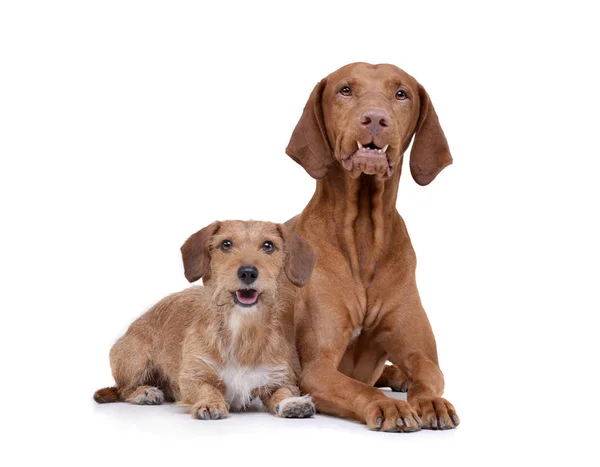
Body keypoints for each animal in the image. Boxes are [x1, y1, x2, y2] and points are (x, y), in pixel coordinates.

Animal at [93, 221, 316, 422]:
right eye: (226, 244)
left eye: (268, 245)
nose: (248, 272)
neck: (242, 329)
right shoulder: (192, 377)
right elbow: (207, 389)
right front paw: (210, 403)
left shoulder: (279, 379)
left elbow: (283, 392)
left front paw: (293, 403)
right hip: (136, 356)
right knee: (124, 389)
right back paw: (145, 392)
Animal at [286, 62, 460, 432]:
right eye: (345, 90)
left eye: (401, 93)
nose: (376, 119)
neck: (364, 234)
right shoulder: (318, 368)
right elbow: (358, 388)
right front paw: (389, 406)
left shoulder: (424, 357)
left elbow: (428, 377)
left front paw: (430, 402)